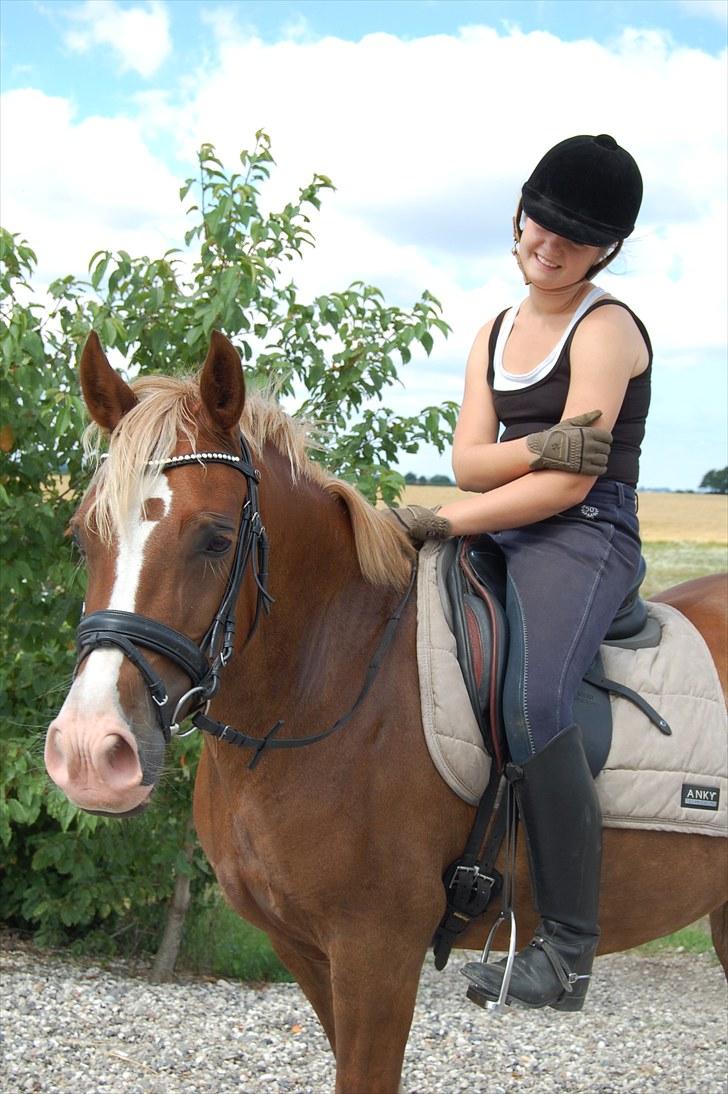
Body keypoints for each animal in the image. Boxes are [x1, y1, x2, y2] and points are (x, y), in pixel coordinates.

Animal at [45, 331, 728, 1094]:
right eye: (81, 536)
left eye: (216, 538)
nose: (88, 752)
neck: (326, 683)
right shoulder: (307, 950)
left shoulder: (377, 951)